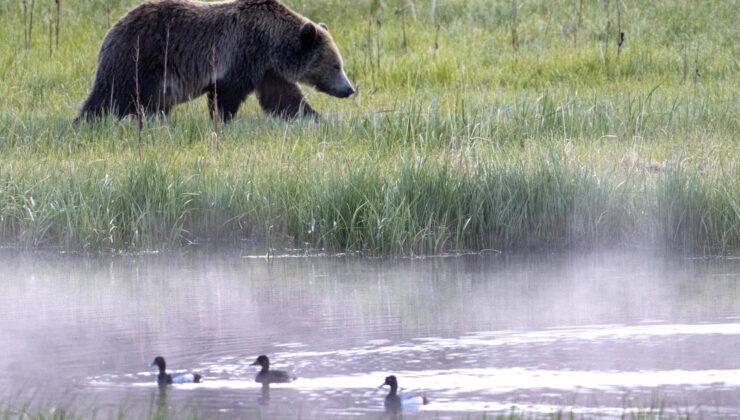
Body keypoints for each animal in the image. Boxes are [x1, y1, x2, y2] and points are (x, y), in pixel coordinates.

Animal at [76, 0, 354, 121]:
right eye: (336, 65)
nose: (349, 89)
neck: (270, 43)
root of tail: (112, 28)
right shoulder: (240, 54)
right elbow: (226, 94)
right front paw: (222, 120)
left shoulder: (266, 70)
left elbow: (284, 98)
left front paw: (314, 117)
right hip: (140, 57)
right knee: (110, 94)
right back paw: (87, 121)